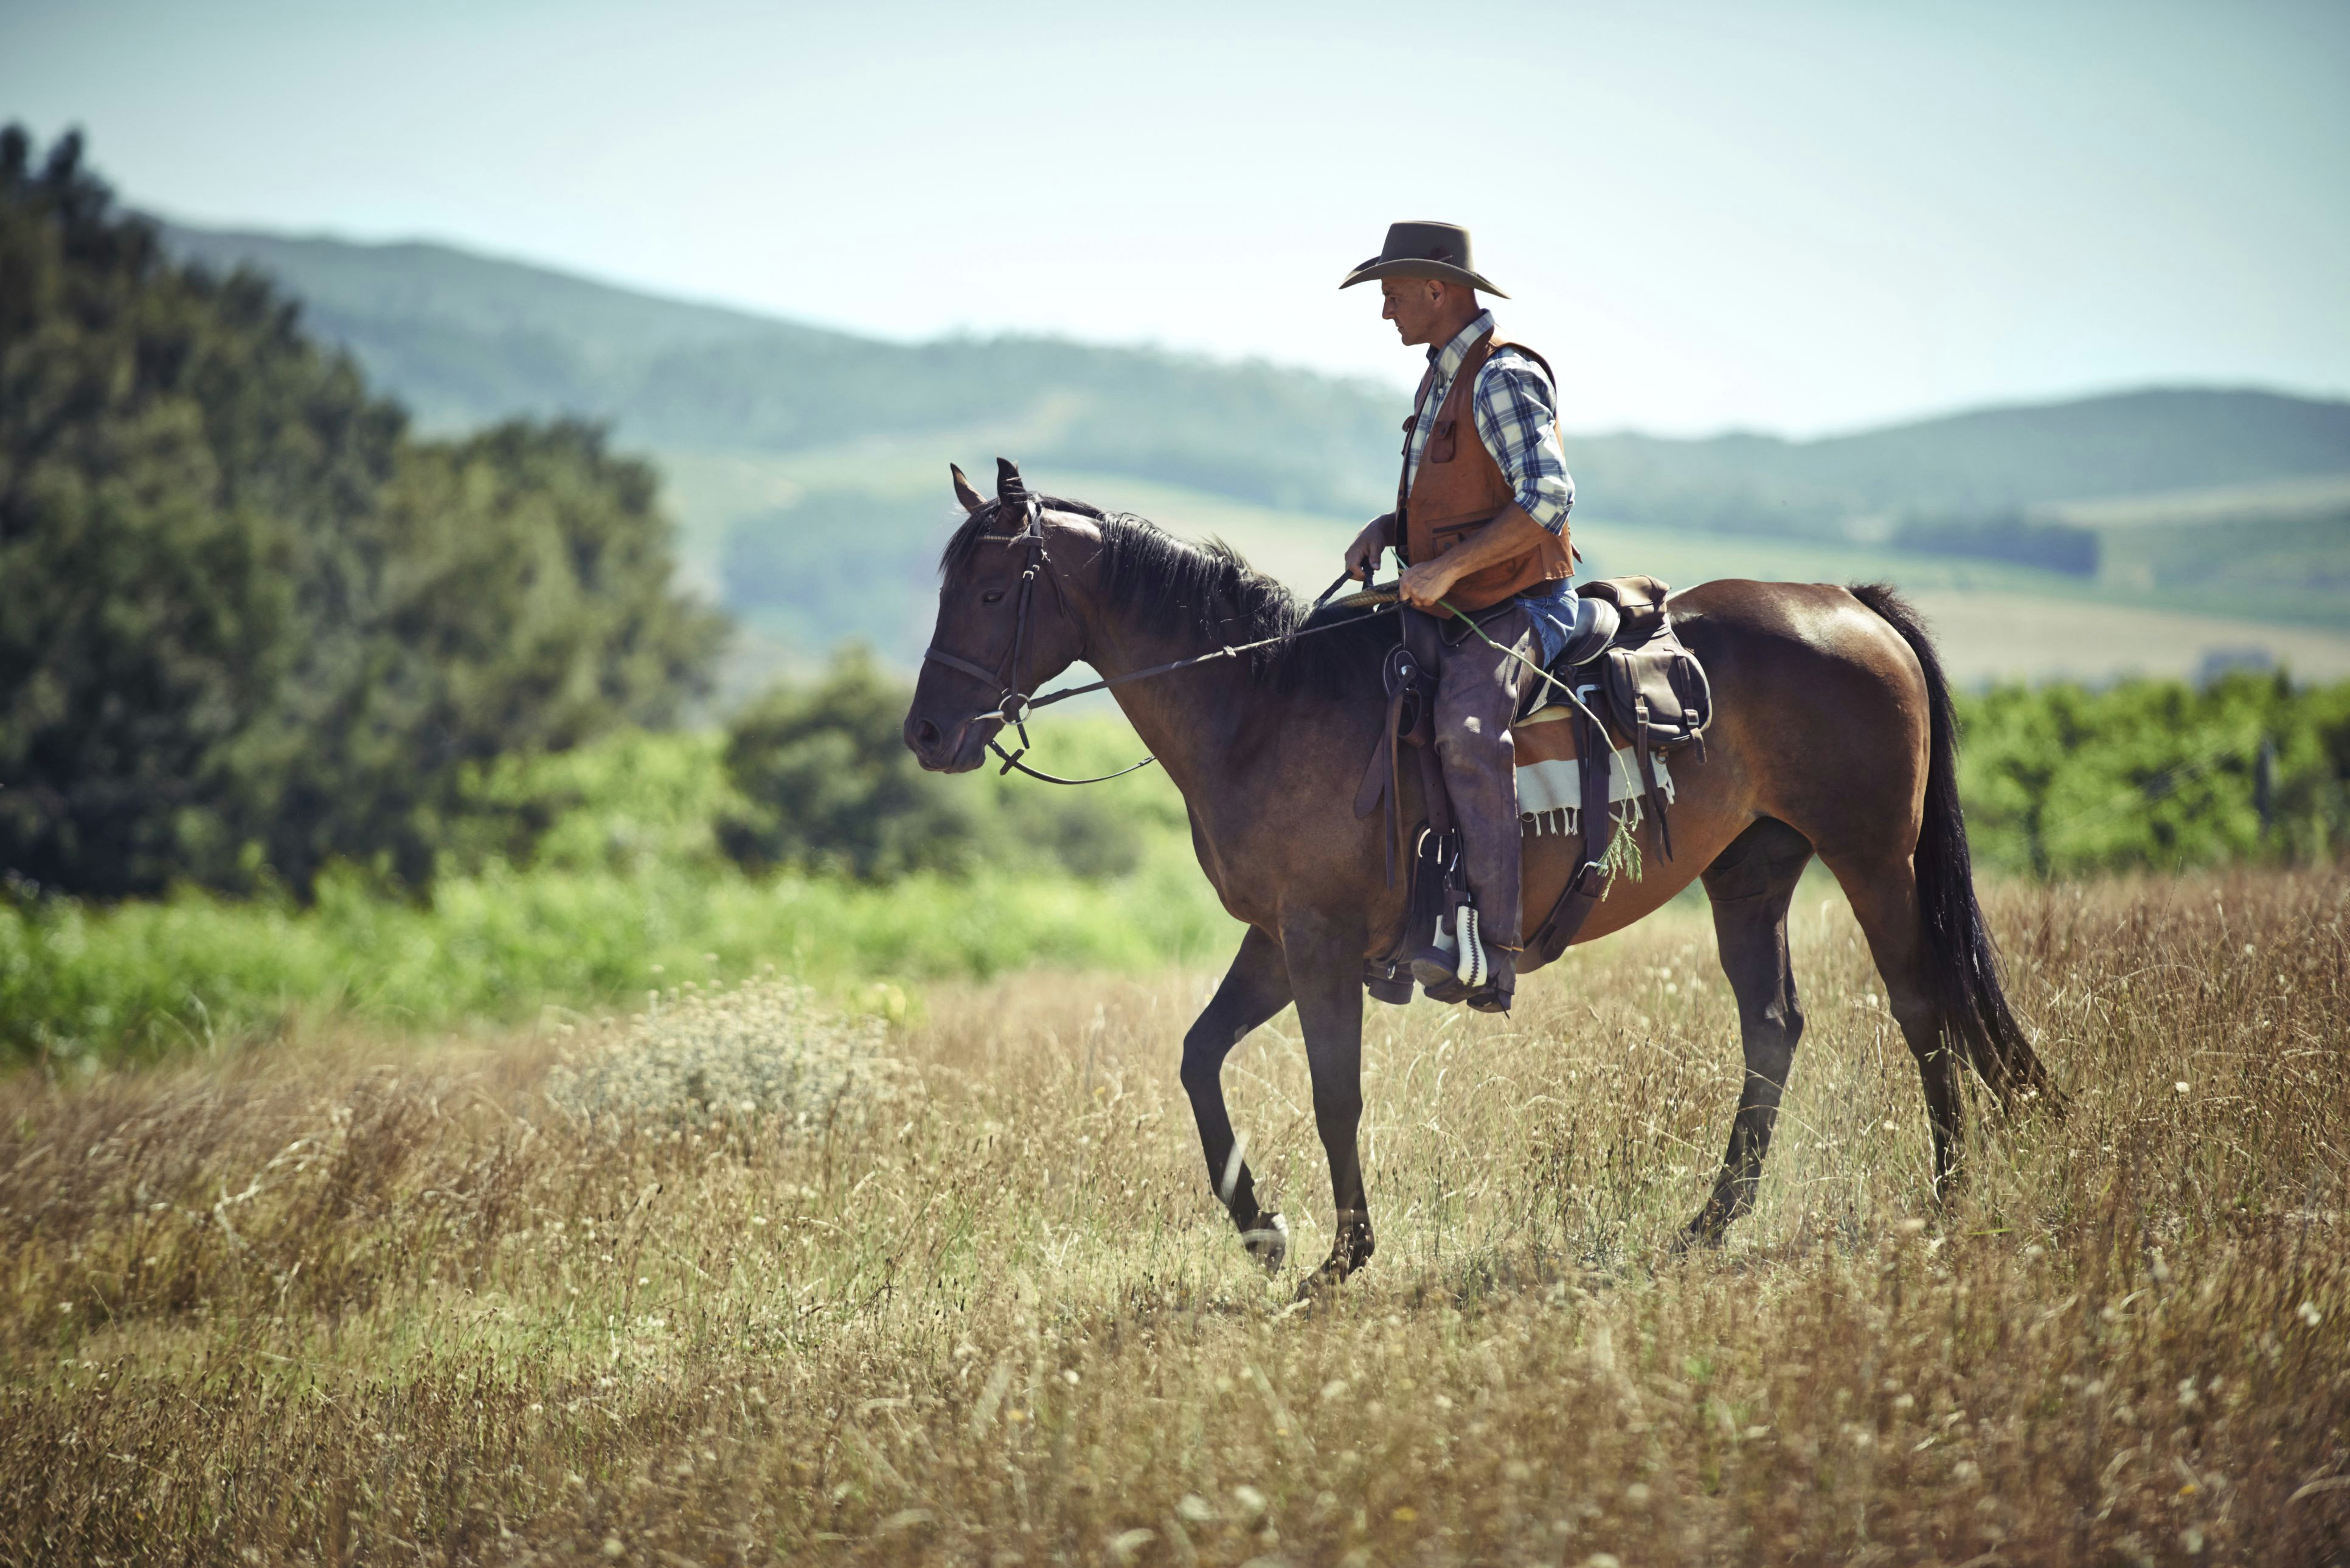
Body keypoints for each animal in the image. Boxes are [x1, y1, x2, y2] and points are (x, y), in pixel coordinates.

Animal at [907, 460, 2049, 1297]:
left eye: (993, 589)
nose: (924, 733)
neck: (1262, 701)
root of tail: (1848, 603)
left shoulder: (1318, 939)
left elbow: (1333, 1091)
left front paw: (1341, 1255)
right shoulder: (1277, 936)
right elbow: (1198, 1058)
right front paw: (1264, 1230)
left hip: (1872, 855)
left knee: (1918, 1003)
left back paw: (1946, 1193)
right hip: (1751, 874)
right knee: (1771, 1025)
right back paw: (1708, 1222)